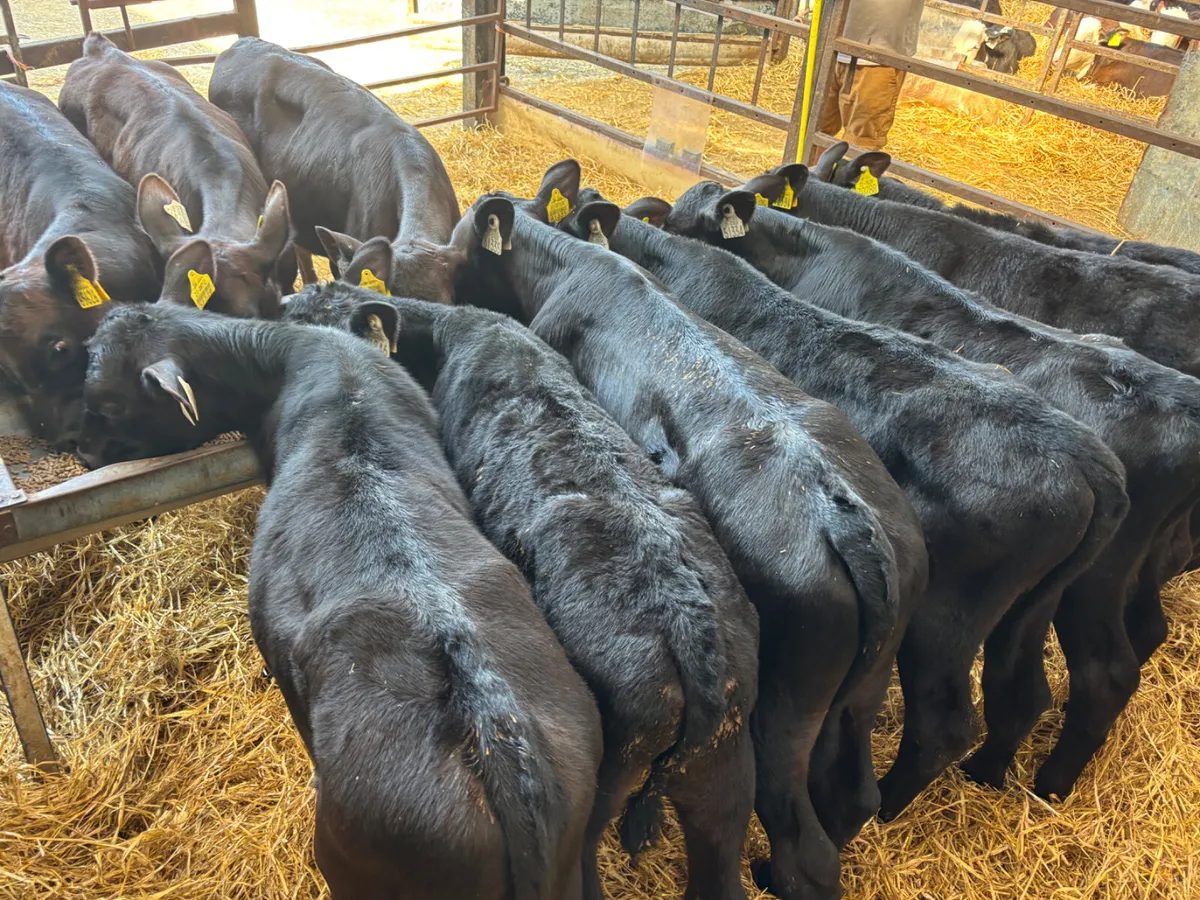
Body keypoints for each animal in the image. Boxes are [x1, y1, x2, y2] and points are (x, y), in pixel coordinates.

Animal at [431, 162, 929, 900]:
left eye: (462, 250)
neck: (578, 268)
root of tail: (849, 515)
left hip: (785, 707)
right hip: (856, 697)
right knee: (845, 800)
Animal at [556, 186, 1126, 832]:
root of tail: (1084, 455)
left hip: (944, 624)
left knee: (944, 724)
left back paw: (898, 805)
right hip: (1033, 609)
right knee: (1030, 690)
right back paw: (1001, 776)